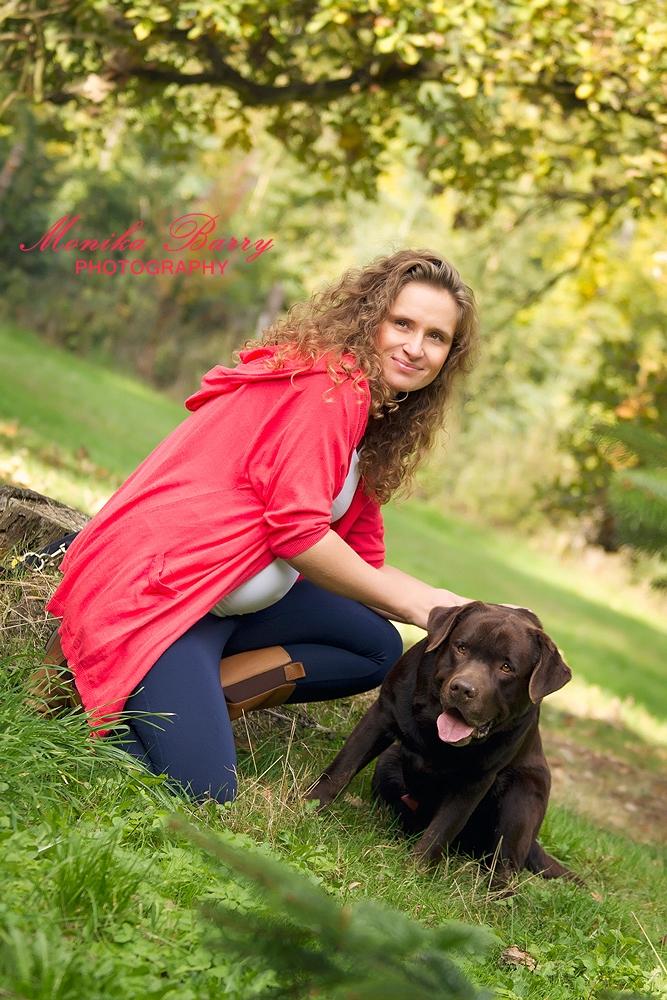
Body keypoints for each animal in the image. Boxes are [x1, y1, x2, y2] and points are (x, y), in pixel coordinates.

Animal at [307, 602, 579, 889]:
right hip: (388, 763)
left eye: (507, 667)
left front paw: (412, 875)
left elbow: (440, 830)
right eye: (461, 647)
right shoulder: (382, 714)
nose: (463, 688)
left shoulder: (476, 779)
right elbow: (341, 769)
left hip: (523, 795)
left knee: (506, 867)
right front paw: (307, 806)